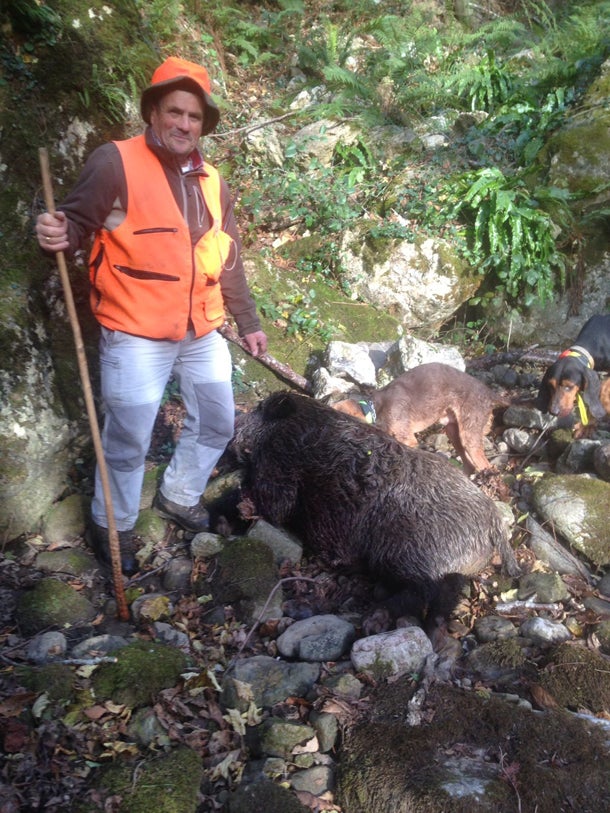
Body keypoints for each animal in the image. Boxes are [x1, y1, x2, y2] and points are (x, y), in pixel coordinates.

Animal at [330, 364, 506, 476]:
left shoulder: (408, 440)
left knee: (486, 466)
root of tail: (489, 393)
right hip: (453, 431)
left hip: (469, 435)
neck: (374, 409)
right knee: (470, 466)